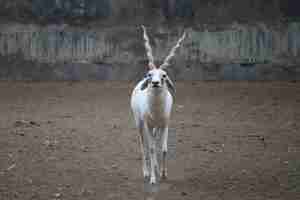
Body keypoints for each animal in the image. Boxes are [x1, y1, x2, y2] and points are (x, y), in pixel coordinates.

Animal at [131, 25, 185, 184]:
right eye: (149, 74)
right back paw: (146, 172)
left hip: (156, 128)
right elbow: (151, 149)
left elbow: (164, 149)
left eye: (164, 75)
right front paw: (153, 179)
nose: (155, 83)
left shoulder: (165, 124)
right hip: (140, 123)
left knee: (154, 143)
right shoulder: (148, 125)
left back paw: (155, 167)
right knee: (144, 145)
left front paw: (164, 174)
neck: (156, 110)